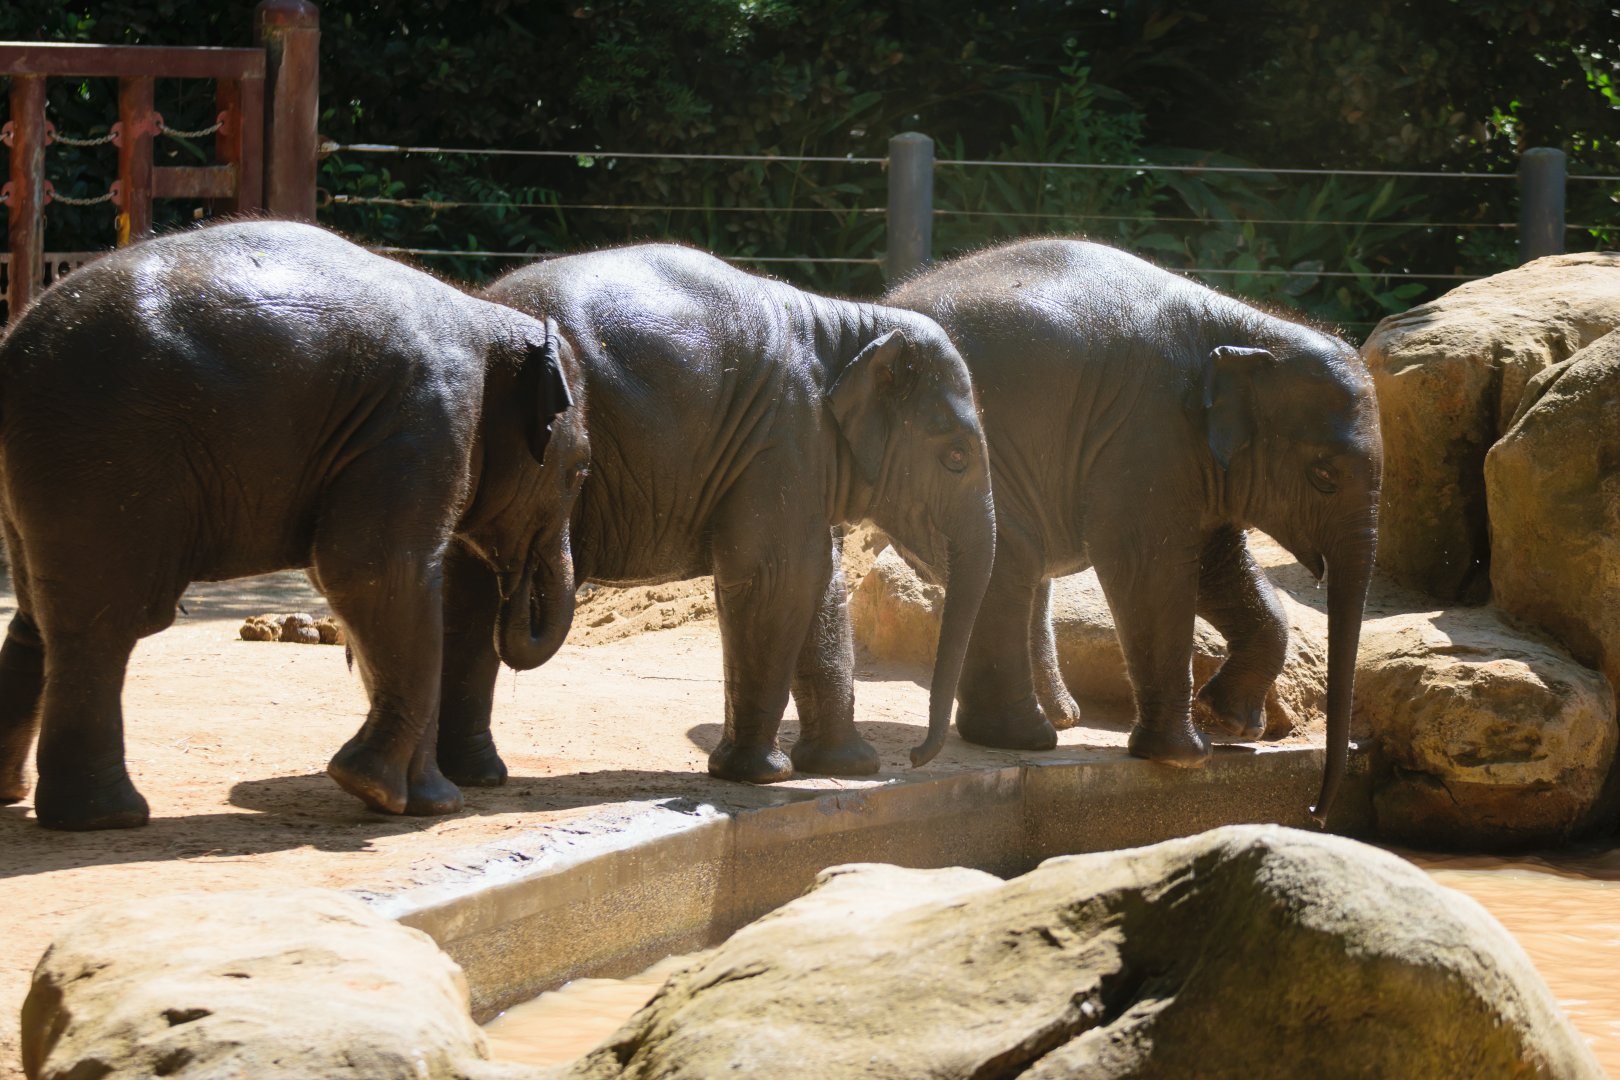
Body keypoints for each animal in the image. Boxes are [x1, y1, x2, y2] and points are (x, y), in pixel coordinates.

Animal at [0, 220, 584, 830]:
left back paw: (19, 795)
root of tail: (15, 346)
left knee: (38, 614)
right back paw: (108, 816)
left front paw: (410, 801)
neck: (490, 320)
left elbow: (356, 585)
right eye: (579, 471)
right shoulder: (428, 414)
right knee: (106, 620)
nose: (517, 581)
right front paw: (405, 798)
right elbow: (374, 570)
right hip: (106, 451)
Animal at [436, 243, 996, 787]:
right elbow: (777, 577)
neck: (850, 321)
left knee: (469, 589)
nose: (916, 760)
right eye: (957, 457)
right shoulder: (785, 436)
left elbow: (822, 580)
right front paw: (760, 777)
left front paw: (847, 767)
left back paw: (477, 777)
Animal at [887, 238, 1382, 822]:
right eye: (1324, 475)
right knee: (1010, 561)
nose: (1314, 813)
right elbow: (1146, 563)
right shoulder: (1145, 434)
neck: (1250, 328)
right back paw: (1026, 738)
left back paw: (1059, 719)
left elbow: (1217, 562)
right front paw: (1187, 755)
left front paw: (1229, 722)